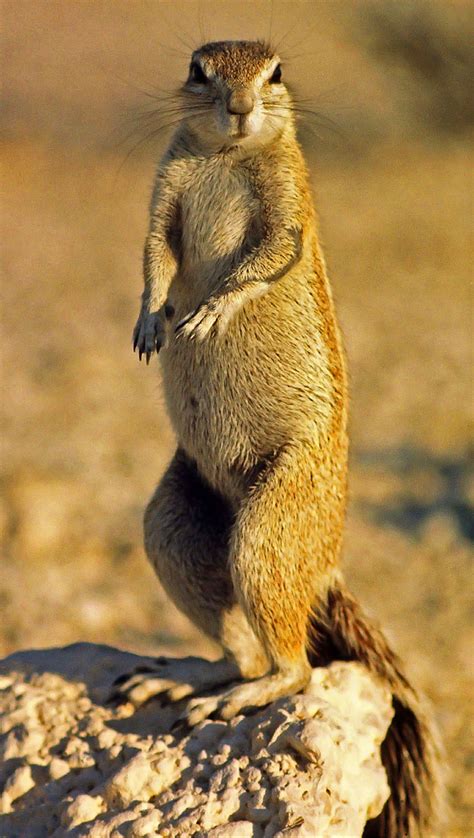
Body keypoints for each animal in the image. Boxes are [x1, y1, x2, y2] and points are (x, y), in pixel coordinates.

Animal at [114, 41, 440, 838]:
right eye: (198, 69)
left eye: (277, 72)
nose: (238, 106)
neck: (227, 155)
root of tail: (322, 566)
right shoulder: (164, 193)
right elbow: (153, 256)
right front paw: (151, 320)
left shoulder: (287, 208)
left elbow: (269, 256)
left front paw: (211, 312)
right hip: (173, 527)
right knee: (241, 649)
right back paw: (187, 679)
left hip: (268, 532)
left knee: (290, 669)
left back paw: (235, 697)